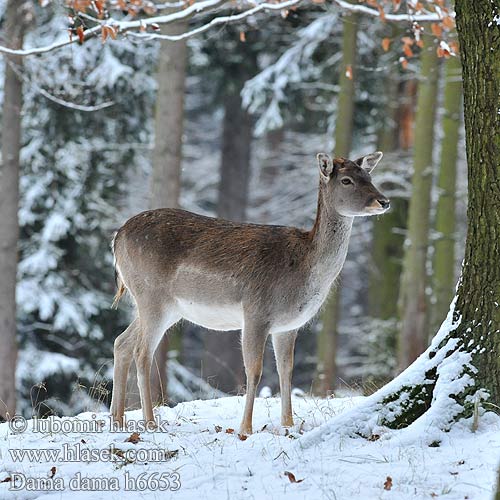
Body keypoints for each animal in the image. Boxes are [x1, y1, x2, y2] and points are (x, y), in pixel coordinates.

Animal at [110, 152, 390, 434]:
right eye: (346, 180)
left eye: (369, 176)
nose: (384, 201)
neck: (304, 269)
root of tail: (116, 237)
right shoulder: (256, 312)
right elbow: (254, 371)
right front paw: (245, 428)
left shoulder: (288, 326)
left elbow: (285, 371)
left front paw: (288, 425)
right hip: (152, 297)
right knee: (142, 353)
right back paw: (150, 422)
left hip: (162, 307)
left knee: (121, 342)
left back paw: (117, 419)